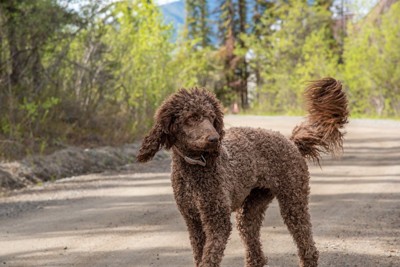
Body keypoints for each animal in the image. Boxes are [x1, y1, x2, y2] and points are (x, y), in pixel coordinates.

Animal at [137, 78, 346, 267]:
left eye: (212, 117)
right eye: (191, 118)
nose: (214, 139)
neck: (194, 167)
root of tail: (291, 142)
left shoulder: (217, 221)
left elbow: (209, 257)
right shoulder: (193, 221)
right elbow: (199, 255)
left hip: (293, 201)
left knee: (306, 244)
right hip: (250, 209)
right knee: (255, 247)